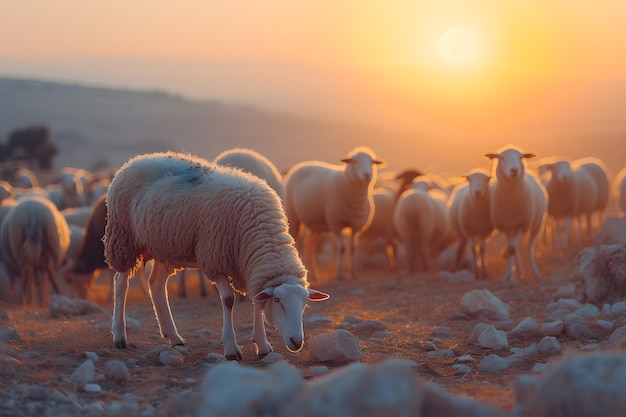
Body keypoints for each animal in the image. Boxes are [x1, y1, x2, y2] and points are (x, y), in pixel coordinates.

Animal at [105, 151, 330, 360]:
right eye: (278, 301)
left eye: (304, 304)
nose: (297, 342)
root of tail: (137, 159)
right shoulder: (215, 259)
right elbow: (229, 300)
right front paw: (231, 348)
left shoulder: (247, 266)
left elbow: (256, 301)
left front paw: (262, 345)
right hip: (123, 237)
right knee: (120, 282)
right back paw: (120, 336)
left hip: (163, 246)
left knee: (157, 285)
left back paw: (174, 337)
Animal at [284, 145, 382, 280]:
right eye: (355, 161)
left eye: (372, 162)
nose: (367, 175)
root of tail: (301, 165)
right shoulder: (336, 223)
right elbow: (341, 248)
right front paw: (339, 274)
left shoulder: (356, 225)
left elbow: (353, 248)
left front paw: (354, 273)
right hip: (293, 217)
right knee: (297, 243)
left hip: (316, 226)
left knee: (309, 245)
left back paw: (314, 274)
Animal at [482, 145, 544, 282]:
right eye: (501, 158)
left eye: (521, 157)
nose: (514, 170)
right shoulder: (505, 227)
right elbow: (511, 249)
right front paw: (509, 276)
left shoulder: (522, 225)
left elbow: (514, 249)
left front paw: (512, 276)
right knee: (516, 248)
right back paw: (519, 272)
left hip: (536, 226)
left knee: (528, 248)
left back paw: (535, 272)